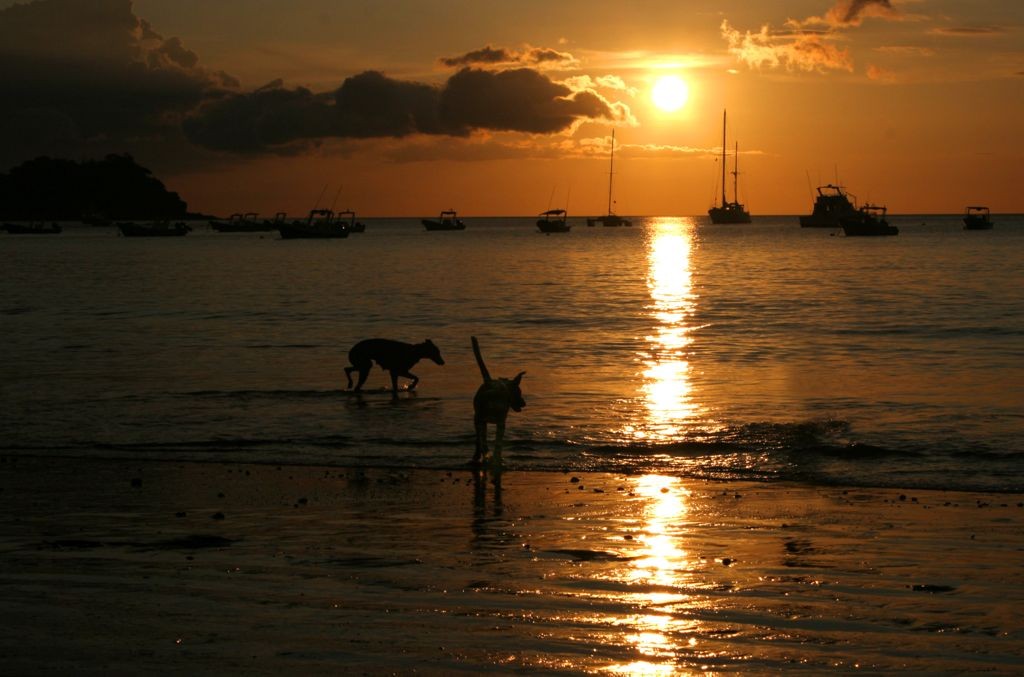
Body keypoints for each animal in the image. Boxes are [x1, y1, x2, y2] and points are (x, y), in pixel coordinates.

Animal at [468, 333, 524, 469]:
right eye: (519, 392)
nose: (524, 404)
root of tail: (489, 381)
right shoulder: (480, 420)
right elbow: (482, 441)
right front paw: (487, 456)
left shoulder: (500, 423)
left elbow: (498, 442)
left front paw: (496, 458)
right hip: (479, 419)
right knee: (479, 439)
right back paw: (478, 455)